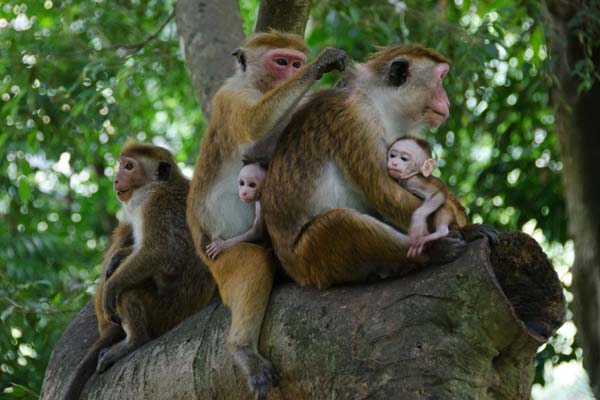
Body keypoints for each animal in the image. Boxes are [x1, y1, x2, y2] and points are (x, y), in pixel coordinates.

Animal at [62, 140, 216, 400]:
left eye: (129, 167)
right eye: (121, 165)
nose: (116, 179)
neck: (158, 185)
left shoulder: (157, 205)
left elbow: (158, 252)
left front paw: (112, 284)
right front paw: (118, 257)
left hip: (166, 312)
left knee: (126, 291)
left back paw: (133, 340)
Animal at [188, 29, 346, 398]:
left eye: (295, 63)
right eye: (281, 62)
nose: (292, 74)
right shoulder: (231, 96)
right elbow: (254, 131)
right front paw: (323, 65)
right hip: (221, 259)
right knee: (252, 263)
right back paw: (243, 349)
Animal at [262, 43, 496, 290]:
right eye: (441, 78)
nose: (447, 100)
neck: (380, 103)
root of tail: (292, 269)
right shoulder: (357, 120)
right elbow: (384, 191)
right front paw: (465, 229)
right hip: (309, 257)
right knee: (340, 223)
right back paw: (431, 252)